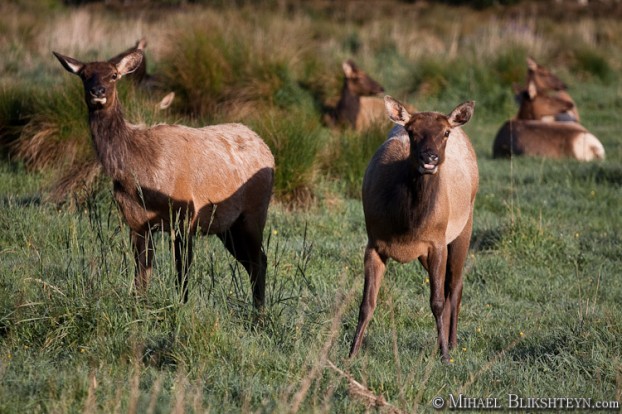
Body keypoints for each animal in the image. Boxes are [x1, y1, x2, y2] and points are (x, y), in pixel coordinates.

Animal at [54, 48, 276, 308]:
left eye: (113, 75)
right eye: (84, 75)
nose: (97, 92)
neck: (141, 175)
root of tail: (266, 148)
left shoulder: (185, 215)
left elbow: (182, 272)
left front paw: (183, 306)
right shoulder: (136, 222)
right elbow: (142, 275)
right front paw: (140, 306)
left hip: (255, 211)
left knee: (259, 260)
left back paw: (259, 312)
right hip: (227, 225)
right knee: (252, 262)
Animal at [352, 97, 482, 362]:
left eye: (445, 133)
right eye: (411, 132)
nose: (429, 158)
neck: (407, 226)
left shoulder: (437, 242)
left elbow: (437, 301)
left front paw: (445, 357)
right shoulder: (374, 242)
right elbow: (367, 303)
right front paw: (351, 352)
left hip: (465, 225)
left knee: (455, 286)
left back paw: (451, 343)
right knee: (450, 285)